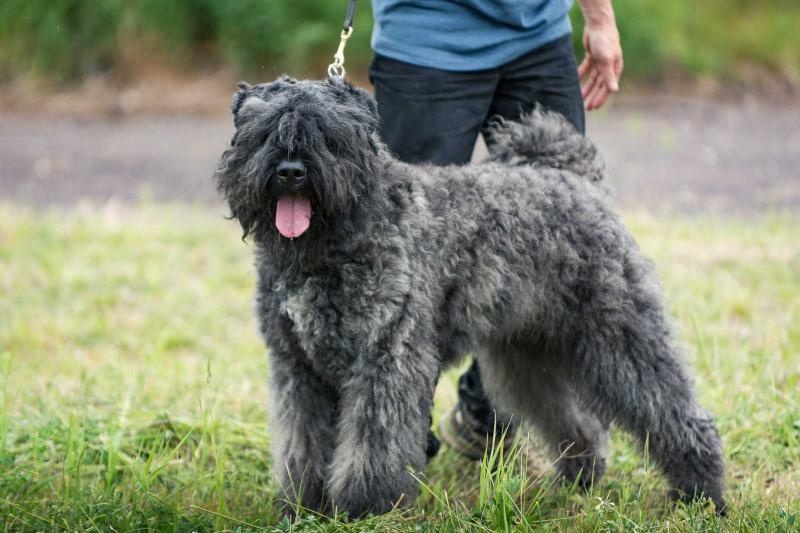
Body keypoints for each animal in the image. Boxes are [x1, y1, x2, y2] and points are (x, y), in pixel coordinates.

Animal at [212, 75, 724, 516]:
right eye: (263, 132)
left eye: (327, 133)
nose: (291, 171)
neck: (337, 237)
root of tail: (574, 179)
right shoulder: (296, 367)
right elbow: (302, 443)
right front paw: (303, 505)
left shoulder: (386, 358)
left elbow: (373, 440)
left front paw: (365, 506)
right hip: (529, 354)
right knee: (575, 422)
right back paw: (578, 482)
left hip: (621, 337)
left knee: (672, 411)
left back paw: (702, 493)